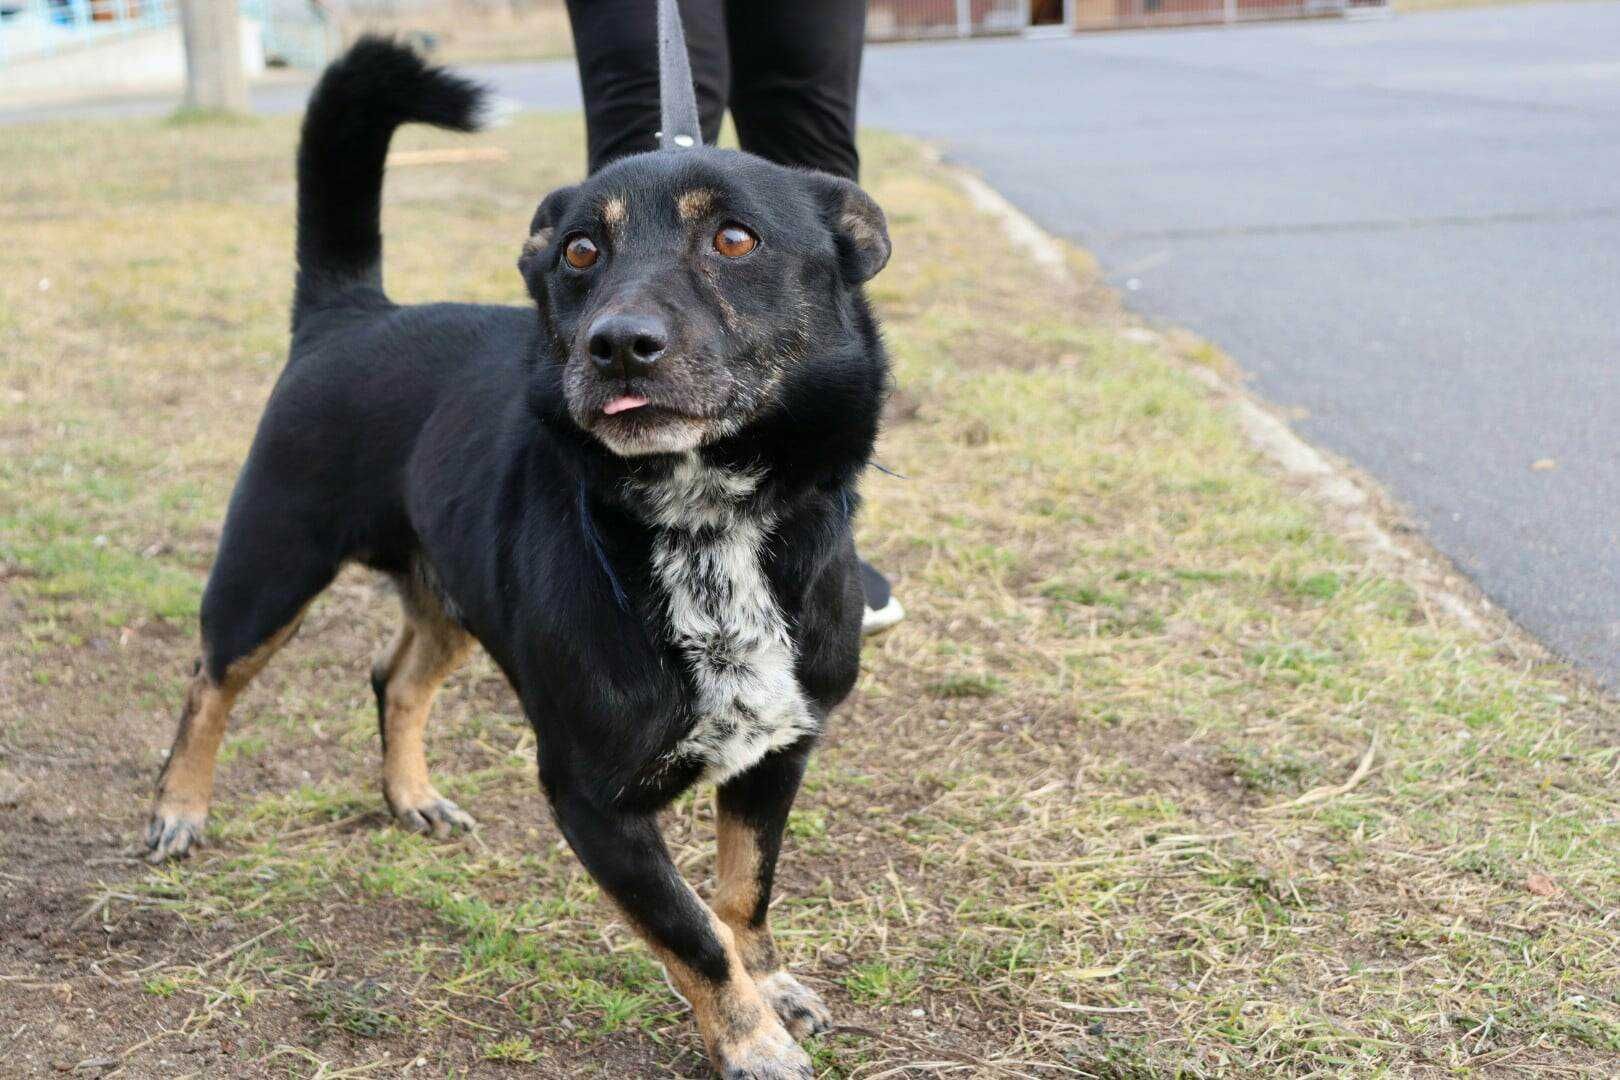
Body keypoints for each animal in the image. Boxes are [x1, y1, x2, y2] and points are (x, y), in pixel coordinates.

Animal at [142, 38, 887, 1075]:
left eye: (735, 241)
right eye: (580, 252)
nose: (619, 345)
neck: (704, 525)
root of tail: (351, 310)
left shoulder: (777, 754)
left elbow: (742, 895)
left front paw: (768, 986)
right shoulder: (590, 798)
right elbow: (690, 927)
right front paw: (750, 1038)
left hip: (450, 591)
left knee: (395, 678)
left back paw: (412, 797)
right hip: (270, 565)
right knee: (210, 680)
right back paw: (179, 806)